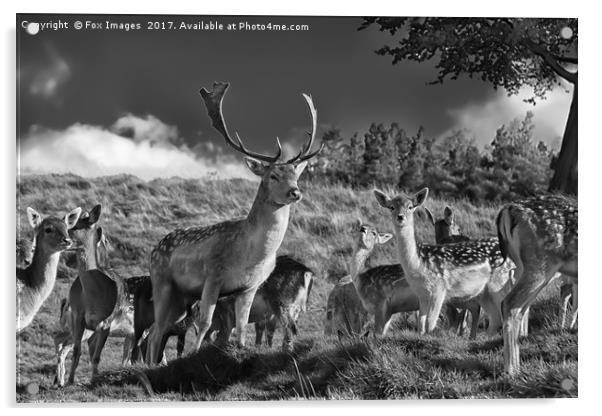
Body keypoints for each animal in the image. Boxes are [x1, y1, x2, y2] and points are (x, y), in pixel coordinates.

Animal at [145, 82, 322, 364]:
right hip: (162, 281)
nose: (295, 192)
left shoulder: (249, 287)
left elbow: (241, 327)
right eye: (273, 175)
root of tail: (155, 248)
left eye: (296, 174)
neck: (250, 256)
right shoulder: (212, 277)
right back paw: (150, 366)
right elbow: (205, 323)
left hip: (182, 297)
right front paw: (196, 355)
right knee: (156, 329)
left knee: (156, 329)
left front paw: (239, 351)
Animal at [372, 188, 508, 334]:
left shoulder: (439, 289)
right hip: (484, 292)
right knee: (496, 318)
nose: (400, 216)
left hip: (500, 283)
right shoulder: (421, 294)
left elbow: (430, 324)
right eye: (392, 207)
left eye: (410, 207)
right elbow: (421, 325)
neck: (418, 265)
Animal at [494, 193, 576, 376]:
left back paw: (517, 365)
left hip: (525, 267)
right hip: (539, 264)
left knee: (520, 308)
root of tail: (507, 210)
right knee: (509, 303)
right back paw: (510, 370)